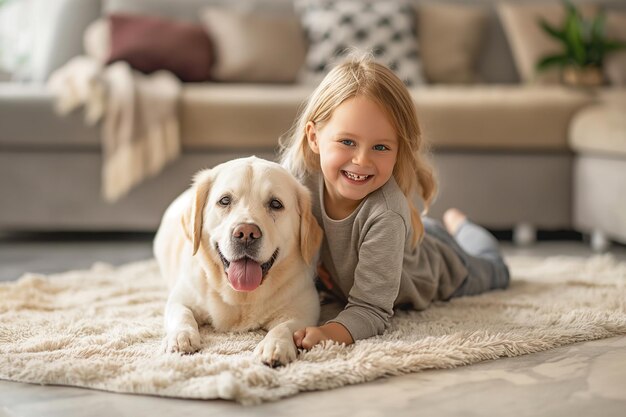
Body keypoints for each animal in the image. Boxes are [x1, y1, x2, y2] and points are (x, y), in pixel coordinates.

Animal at [154, 155, 322, 364]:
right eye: (225, 200)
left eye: (276, 204)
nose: (246, 233)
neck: (241, 297)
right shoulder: (181, 297)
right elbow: (182, 314)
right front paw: (181, 337)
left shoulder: (305, 309)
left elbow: (285, 326)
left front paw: (275, 345)